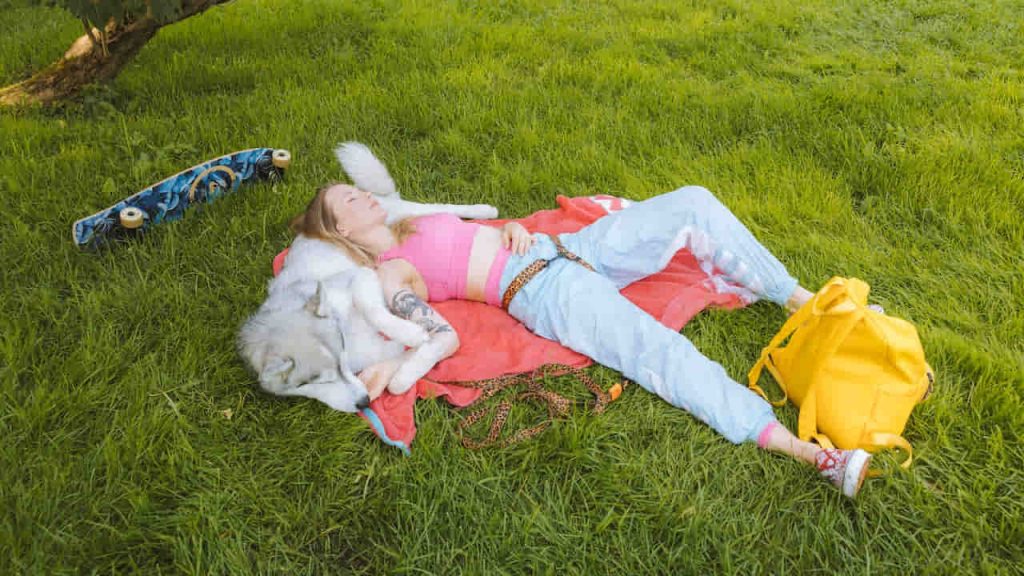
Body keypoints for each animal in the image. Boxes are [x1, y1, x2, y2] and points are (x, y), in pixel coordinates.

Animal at [236, 141, 499, 409]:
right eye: (318, 382)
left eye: (339, 364)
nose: (363, 403)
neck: (346, 330)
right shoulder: (372, 351)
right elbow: (402, 353)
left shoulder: (360, 276)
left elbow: (373, 309)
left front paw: (411, 334)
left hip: (400, 210)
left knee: (436, 207)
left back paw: (484, 210)